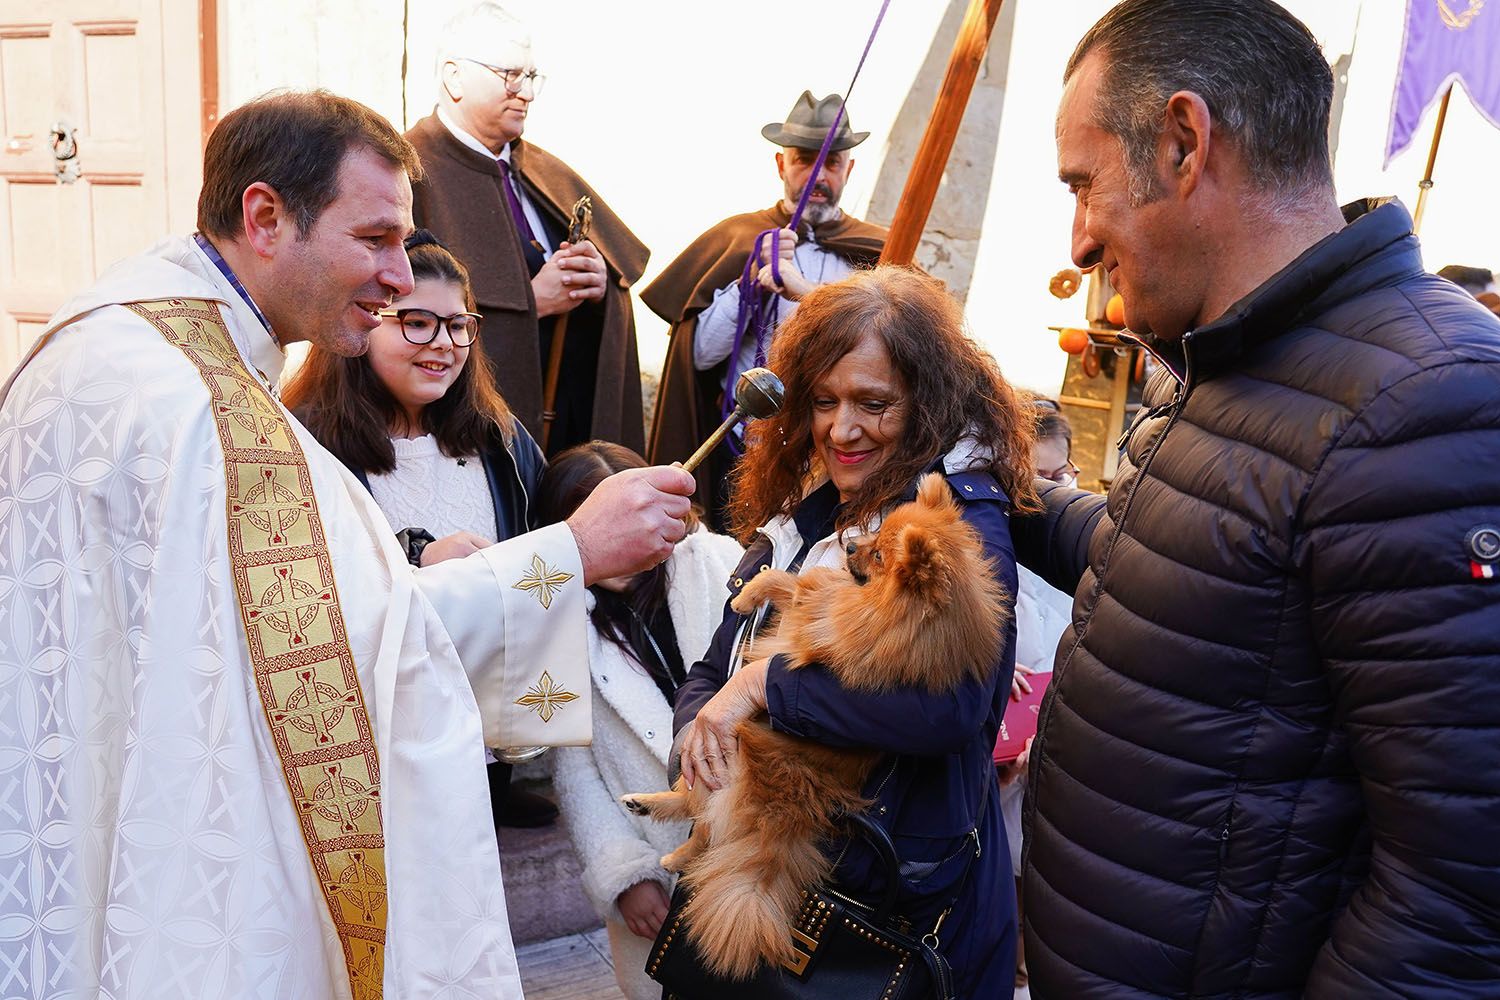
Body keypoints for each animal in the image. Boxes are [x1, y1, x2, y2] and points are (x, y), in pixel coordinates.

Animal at [621, 473, 1008, 983]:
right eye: (873, 540)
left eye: (879, 555)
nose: (851, 547)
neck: (879, 608)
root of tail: (786, 814)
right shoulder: (816, 604)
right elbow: (790, 580)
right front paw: (748, 594)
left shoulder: (814, 630)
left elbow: (791, 590)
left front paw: (746, 597)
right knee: (694, 809)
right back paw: (649, 809)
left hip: (734, 756)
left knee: (707, 833)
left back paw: (675, 851)